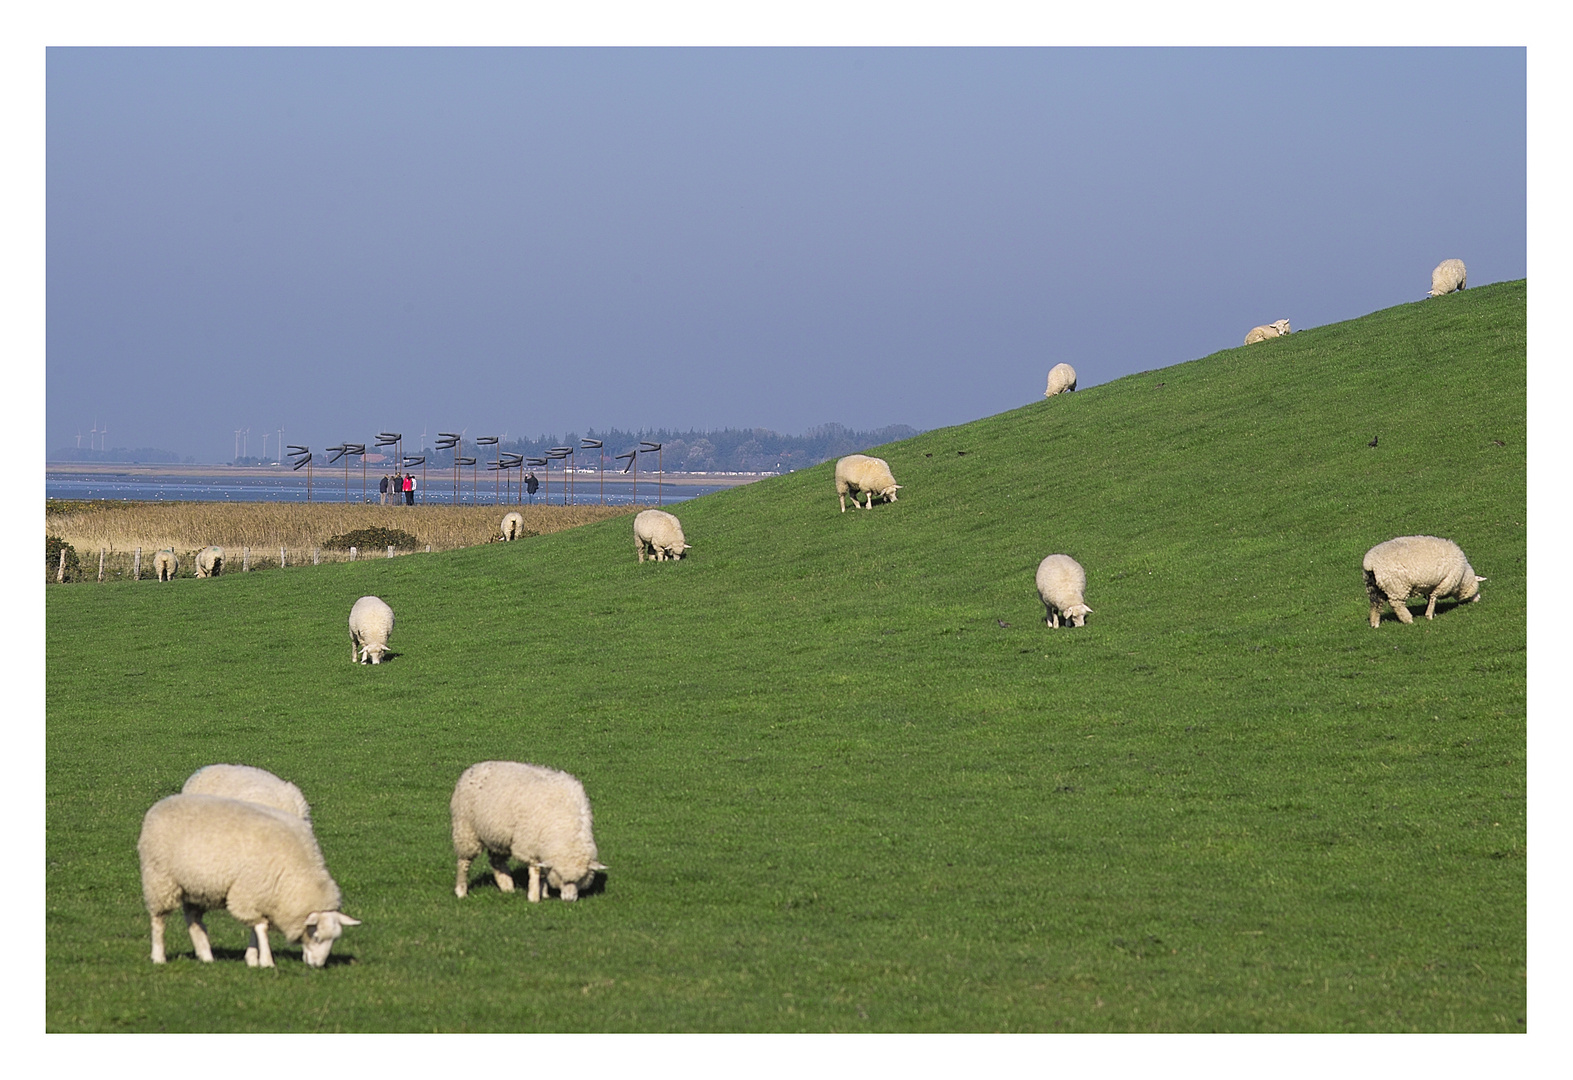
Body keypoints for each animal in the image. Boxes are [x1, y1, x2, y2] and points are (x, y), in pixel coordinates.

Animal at [135, 795, 361, 974]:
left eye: (334, 940)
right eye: (317, 938)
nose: (317, 966)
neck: (296, 873)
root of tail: (161, 804)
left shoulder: (260, 895)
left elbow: (256, 927)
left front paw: (252, 958)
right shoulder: (249, 891)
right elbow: (261, 927)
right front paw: (266, 961)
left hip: (197, 887)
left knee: (193, 919)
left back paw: (206, 956)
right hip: (160, 878)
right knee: (159, 920)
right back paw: (159, 957)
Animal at [456, 760, 607, 905]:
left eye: (581, 879)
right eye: (560, 876)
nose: (569, 900)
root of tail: (475, 767)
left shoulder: (543, 848)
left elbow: (544, 873)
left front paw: (544, 893)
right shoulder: (530, 845)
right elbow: (536, 870)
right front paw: (534, 897)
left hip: (499, 836)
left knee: (496, 861)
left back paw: (507, 886)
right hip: (466, 830)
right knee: (464, 862)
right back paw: (461, 891)